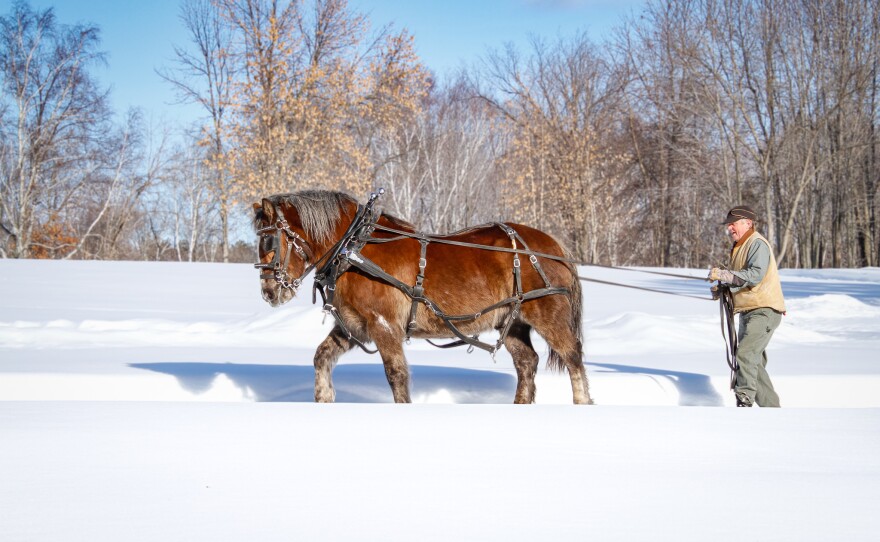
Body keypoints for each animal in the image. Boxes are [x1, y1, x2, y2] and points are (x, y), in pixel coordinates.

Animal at [251, 189, 592, 406]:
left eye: (270, 241)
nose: (269, 293)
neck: (353, 248)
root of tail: (554, 246)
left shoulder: (383, 324)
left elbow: (396, 374)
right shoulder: (354, 326)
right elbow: (321, 357)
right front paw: (322, 400)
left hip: (547, 313)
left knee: (573, 356)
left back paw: (582, 401)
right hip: (512, 321)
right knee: (527, 362)